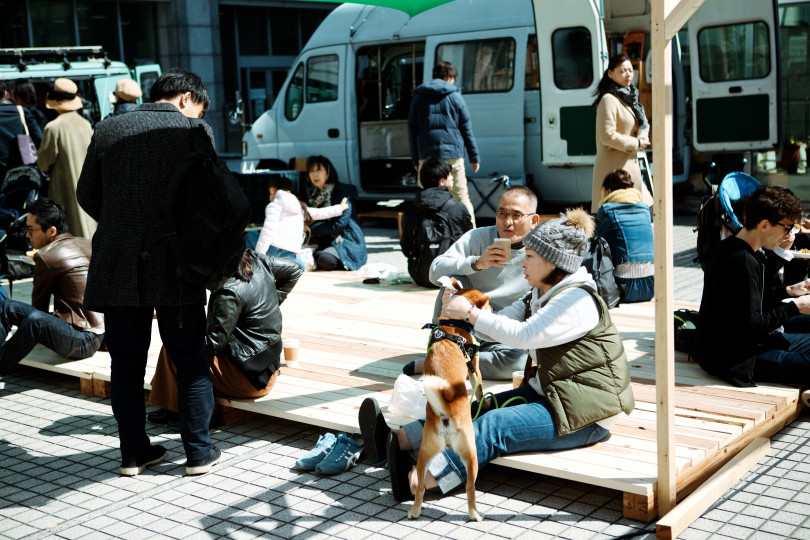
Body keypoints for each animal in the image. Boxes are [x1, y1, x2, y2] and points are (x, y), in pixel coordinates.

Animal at [408, 284, 490, 520]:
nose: (494, 311)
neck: (452, 326)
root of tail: (445, 415)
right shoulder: (475, 369)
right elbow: (479, 389)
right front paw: (484, 403)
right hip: (472, 453)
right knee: (470, 487)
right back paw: (474, 514)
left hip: (424, 453)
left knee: (420, 486)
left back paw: (414, 511)